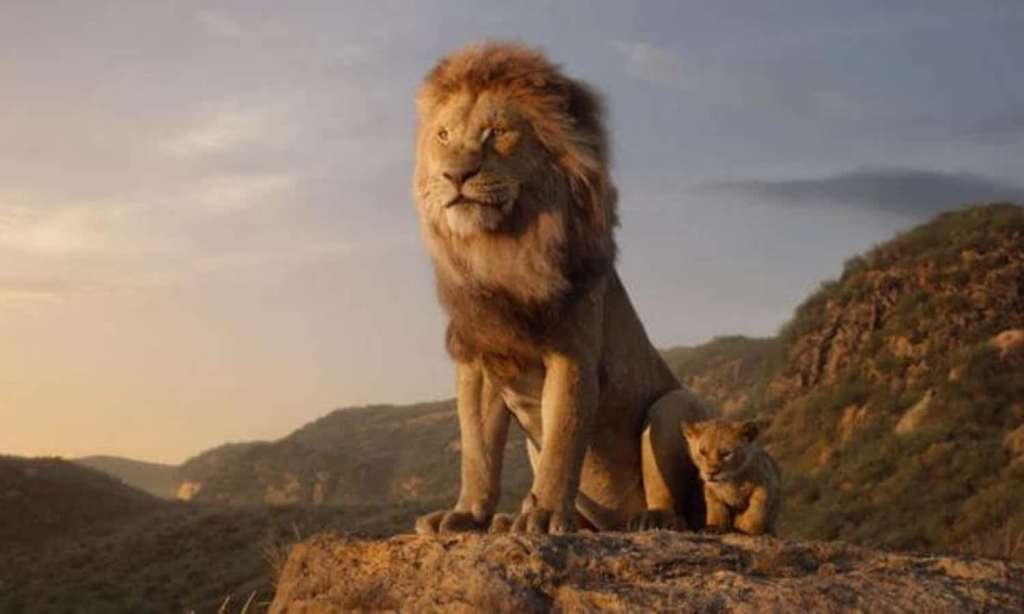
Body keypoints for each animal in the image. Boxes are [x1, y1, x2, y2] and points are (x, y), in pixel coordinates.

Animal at [412, 41, 714, 534]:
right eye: (443, 135)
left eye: (497, 132)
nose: (455, 175)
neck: (500, 250)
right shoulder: (480, 361)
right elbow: (477, 452)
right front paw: (468, 514)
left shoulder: (572, 354)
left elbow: (562, 441)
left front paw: (545, 514)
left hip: (673, 406)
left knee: (680, 507)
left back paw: (650, 519)